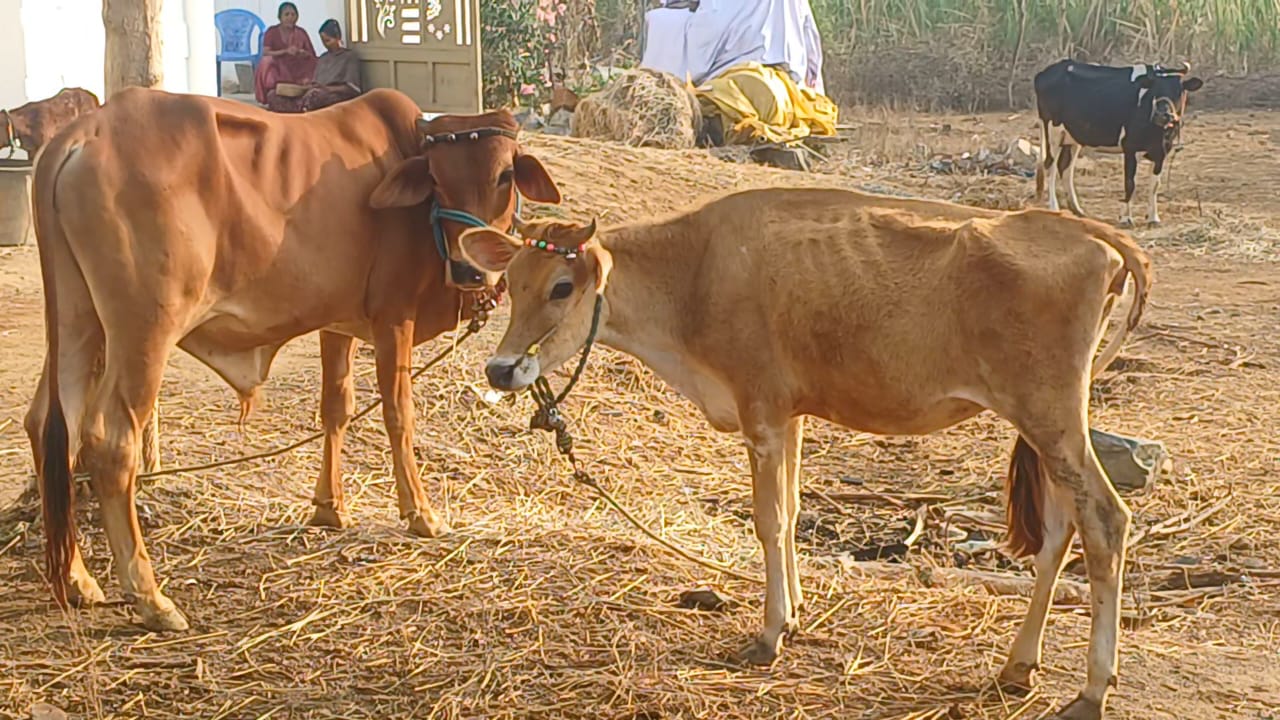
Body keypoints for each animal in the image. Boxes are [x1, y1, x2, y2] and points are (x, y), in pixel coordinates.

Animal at [28, 87, 560, 630]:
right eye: (437, 177)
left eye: (505, 175)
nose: (468, 270)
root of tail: (84, 132)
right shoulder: (394, 317)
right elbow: (398, 414)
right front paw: (420, 513)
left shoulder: (337, 322)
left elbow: (336, 409)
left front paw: (330, 507)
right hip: (142, 331)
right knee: (111, 442)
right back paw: (151, 597)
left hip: (77, 321)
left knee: (50, 426)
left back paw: (79, 579)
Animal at [465, 185, 1157, 717]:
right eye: (510, 283)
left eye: (561, 287)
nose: (501, 369)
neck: (692, 276)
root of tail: (1081, 228)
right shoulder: (791, 413)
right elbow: (794, 513)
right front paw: (795, 613)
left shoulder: (762, 409)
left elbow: (768, 520)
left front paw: (770, 633)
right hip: (1050, 424)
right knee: (1062, 528)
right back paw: (1018, 665)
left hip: (1049, 413)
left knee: (1106, 520)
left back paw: (1092, 689)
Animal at [1034, 59, 1203, 226]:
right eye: (1155, 89)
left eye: (1179, 90)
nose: (1163, 115)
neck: (1157, 132)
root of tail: (1045, 73)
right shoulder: (1130, 147)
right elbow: (1129, 183)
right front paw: (1125, 218)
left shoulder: (1162, 151)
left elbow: (1155, 185)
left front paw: (1153, 218)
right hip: (1052, 131)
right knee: (1050, 166)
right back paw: (1054, 208)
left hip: (1073, 137)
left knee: (1065, 168)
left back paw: (1077, 210)